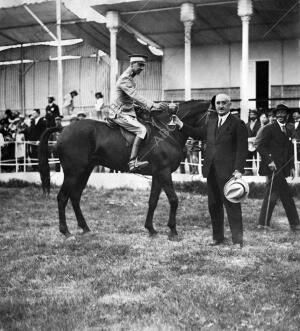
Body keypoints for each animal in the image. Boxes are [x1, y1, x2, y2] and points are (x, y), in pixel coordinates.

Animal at [39, 100, 209, 240]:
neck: (167, 131)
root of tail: (63, 129)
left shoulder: (157, 175)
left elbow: (153, 201)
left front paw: (151, 229)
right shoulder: (164, 173)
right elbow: (173, 199)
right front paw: (173, 231)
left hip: (84, 172)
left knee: (75, 197)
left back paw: (85, 227)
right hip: (73, 174)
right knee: (62, 198)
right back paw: (66, 231)